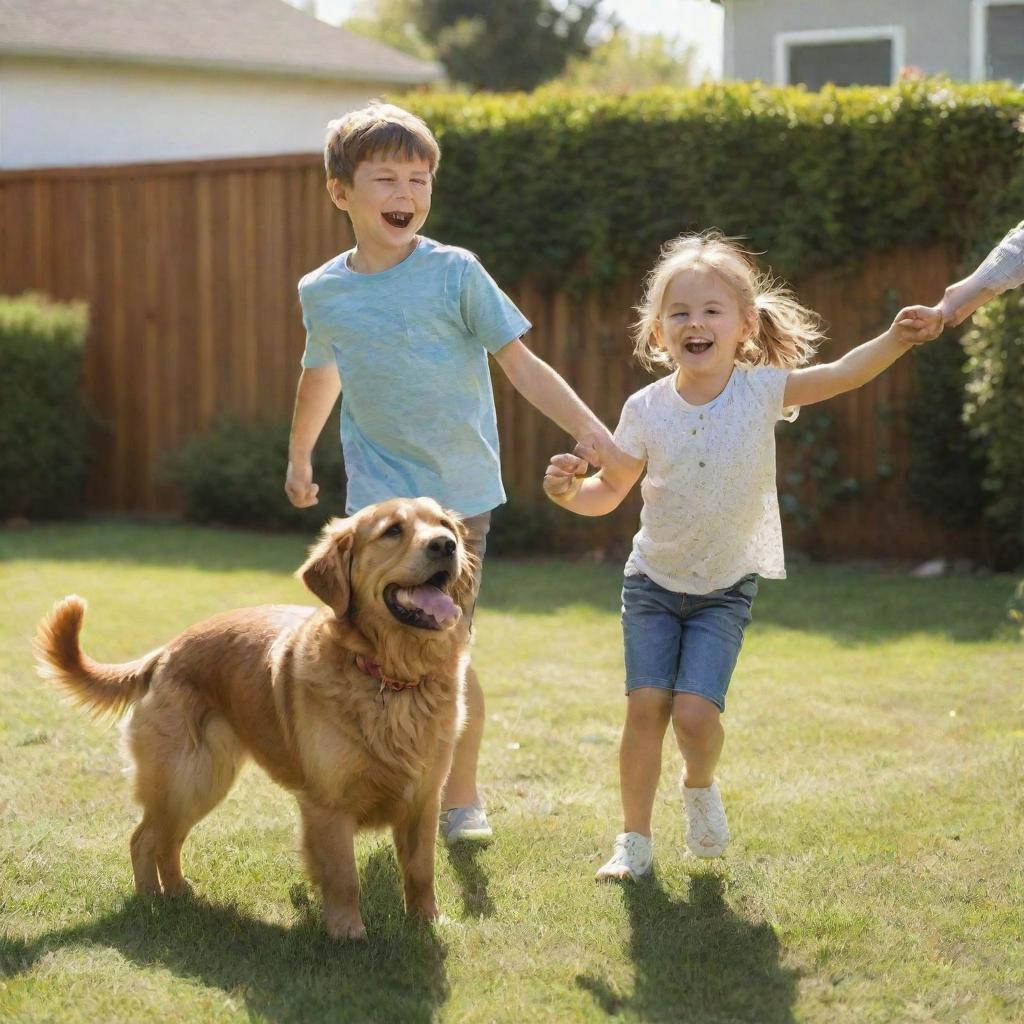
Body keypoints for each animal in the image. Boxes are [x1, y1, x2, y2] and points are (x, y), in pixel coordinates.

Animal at [35, 499, 475, 937]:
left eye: (442, 523)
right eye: (392, 531)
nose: (446, 545)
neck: (392, 679)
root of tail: (165, 652)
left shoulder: (424, 799)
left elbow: (421, 870)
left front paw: (428, 921)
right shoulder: (327, 805)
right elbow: (343, 877)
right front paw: (348, 932)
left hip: (205, 781)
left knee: (168, 840)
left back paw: (177, 892)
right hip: (182, 778)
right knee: (143, 839)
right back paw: (150, 901)